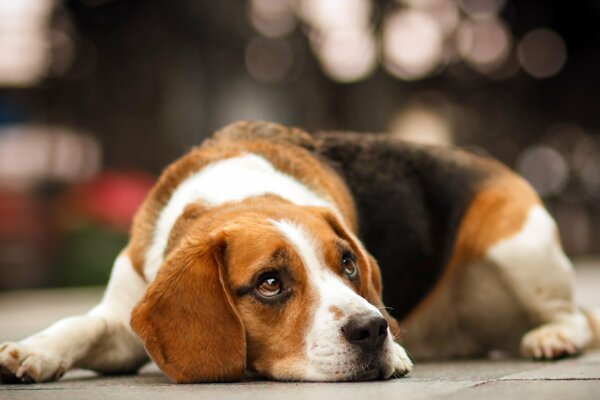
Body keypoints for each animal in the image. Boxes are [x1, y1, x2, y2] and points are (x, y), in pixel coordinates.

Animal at [1, 119, 600, 384]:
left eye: (348, 263)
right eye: (270, 283)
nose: (373, 330)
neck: (235, 194)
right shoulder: (123, 319)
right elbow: (79, 326)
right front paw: (30, 352)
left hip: (517, 244)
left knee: (571, 316)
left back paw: (551, 337)